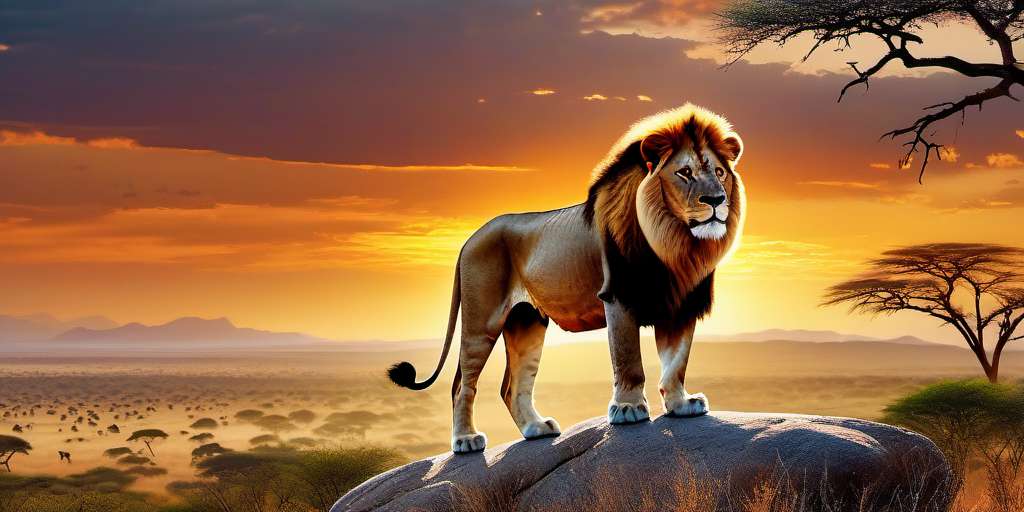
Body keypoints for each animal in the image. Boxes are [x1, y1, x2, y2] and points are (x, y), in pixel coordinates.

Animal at [389, 104, 745, 453]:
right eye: (684, 173)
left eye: (719, 172)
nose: (716, 201)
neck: (675, 243)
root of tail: (469, 239)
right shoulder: (618, 298)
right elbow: (629, 360)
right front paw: (628, 409)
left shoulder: (681, 305)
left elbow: (677, 361)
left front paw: (681, 404)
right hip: (482, 322)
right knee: (462, 383)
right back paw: (466, 440)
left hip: (526, 322)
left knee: (512, 385)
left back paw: (535, 429)